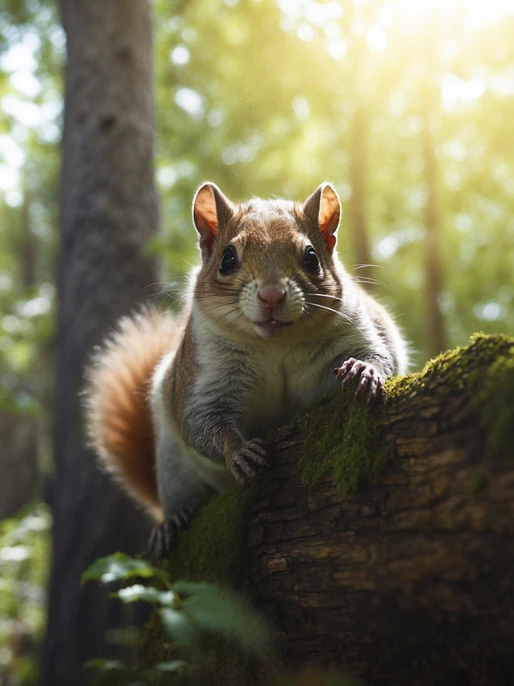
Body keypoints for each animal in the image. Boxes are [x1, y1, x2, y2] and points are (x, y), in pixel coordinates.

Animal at [84, 182, 409, 557]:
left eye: (311, 257)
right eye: (227, 258)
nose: (272, 296)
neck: (275, 345)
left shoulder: (354, 329)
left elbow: (379, 355)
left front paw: (364, 371)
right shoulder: (206, 374)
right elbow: (201, 420)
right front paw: (238, 451)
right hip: (172, 464)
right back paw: (171, 521)